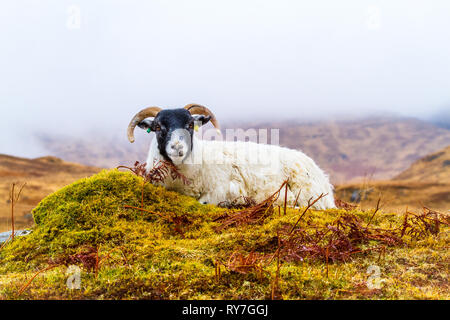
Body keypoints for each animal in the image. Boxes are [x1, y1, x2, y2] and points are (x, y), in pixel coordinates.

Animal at [125, 104, 334, 210]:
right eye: (158, 127)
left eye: (190, 125)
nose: (177, 147)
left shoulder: (226, 189)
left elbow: (205, 201)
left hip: (309, 193)